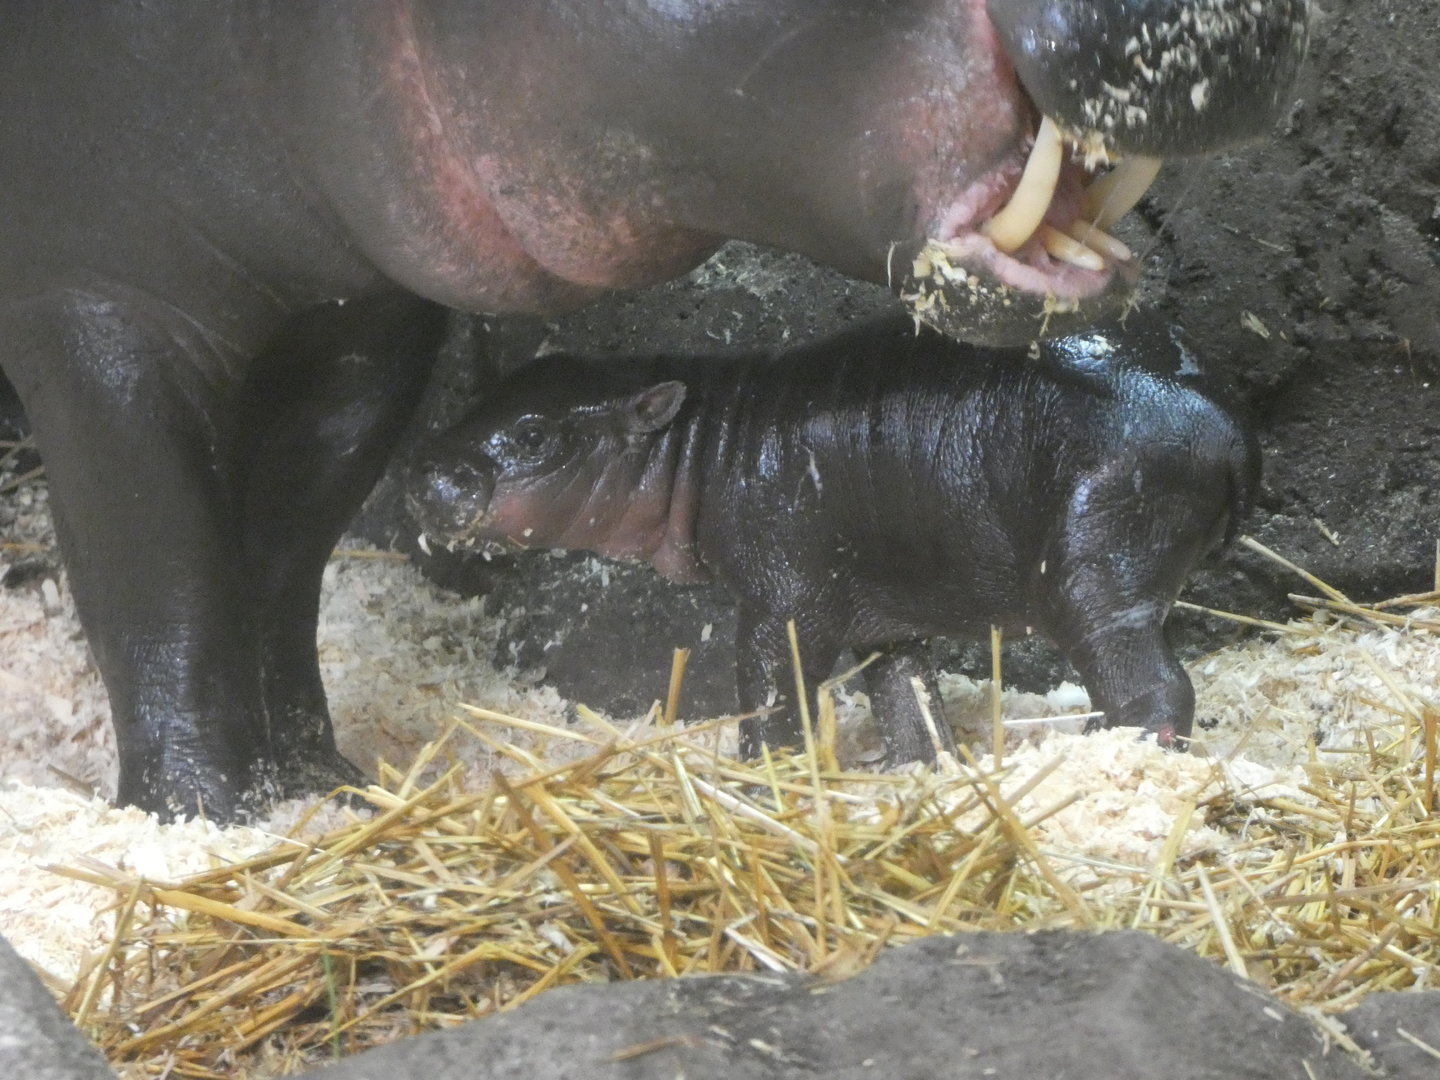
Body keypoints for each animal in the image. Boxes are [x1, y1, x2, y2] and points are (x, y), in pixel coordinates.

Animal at [407, 314, 1260, 763]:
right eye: (488, 394)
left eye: (534, 434)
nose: (427, 472)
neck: (702, 440)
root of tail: (1223, 421)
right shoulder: (885, 615)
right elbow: (903, 690)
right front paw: (912, 767)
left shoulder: (785, 596)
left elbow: (771, 684)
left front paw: (762, 769)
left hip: (1095, 568)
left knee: (1152, 681)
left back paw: (1106, 752)